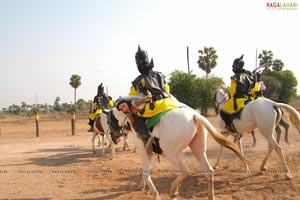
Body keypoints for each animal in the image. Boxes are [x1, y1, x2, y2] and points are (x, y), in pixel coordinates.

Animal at [115, 107, 246, 199]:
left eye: (113, 118)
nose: (115, 136)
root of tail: (194, 115)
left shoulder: (143, 152)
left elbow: (146, 173)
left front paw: (155, 194)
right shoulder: (149, 153)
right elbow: (146, 172)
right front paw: (141, 186)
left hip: (171, 153)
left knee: (185, 170)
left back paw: (173, 190)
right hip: (198, 151)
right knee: (209, 172)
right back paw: (209, 196)